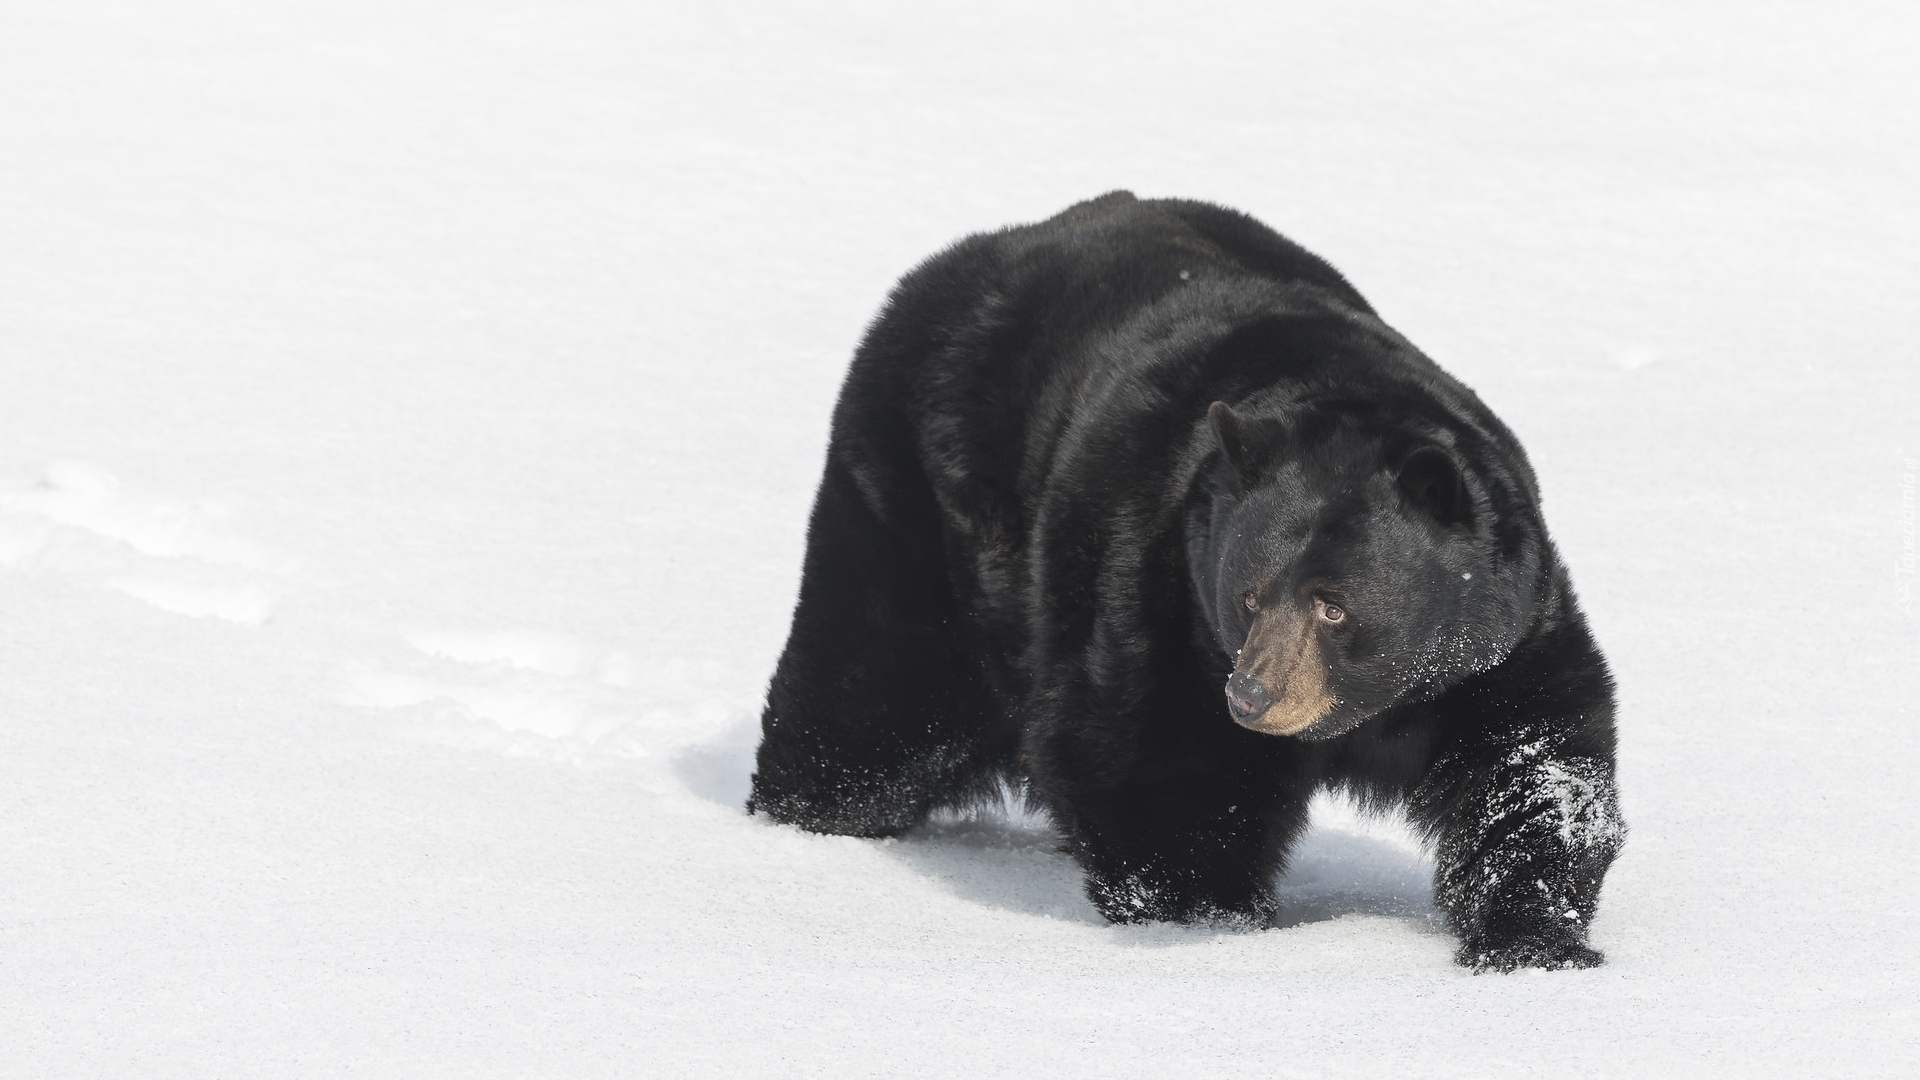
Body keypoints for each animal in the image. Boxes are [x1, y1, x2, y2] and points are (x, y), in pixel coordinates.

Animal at [744, 191, 1620, 968]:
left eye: (1334, 606)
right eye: (1247, 596)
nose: (1254, 696)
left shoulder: (1496, 640)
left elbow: (1537, 766)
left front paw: (1534, 941)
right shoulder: (1161, 600)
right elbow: (1152, 767)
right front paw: (1208, 921)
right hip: (919, 517)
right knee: (872, 693)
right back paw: (798, 816)